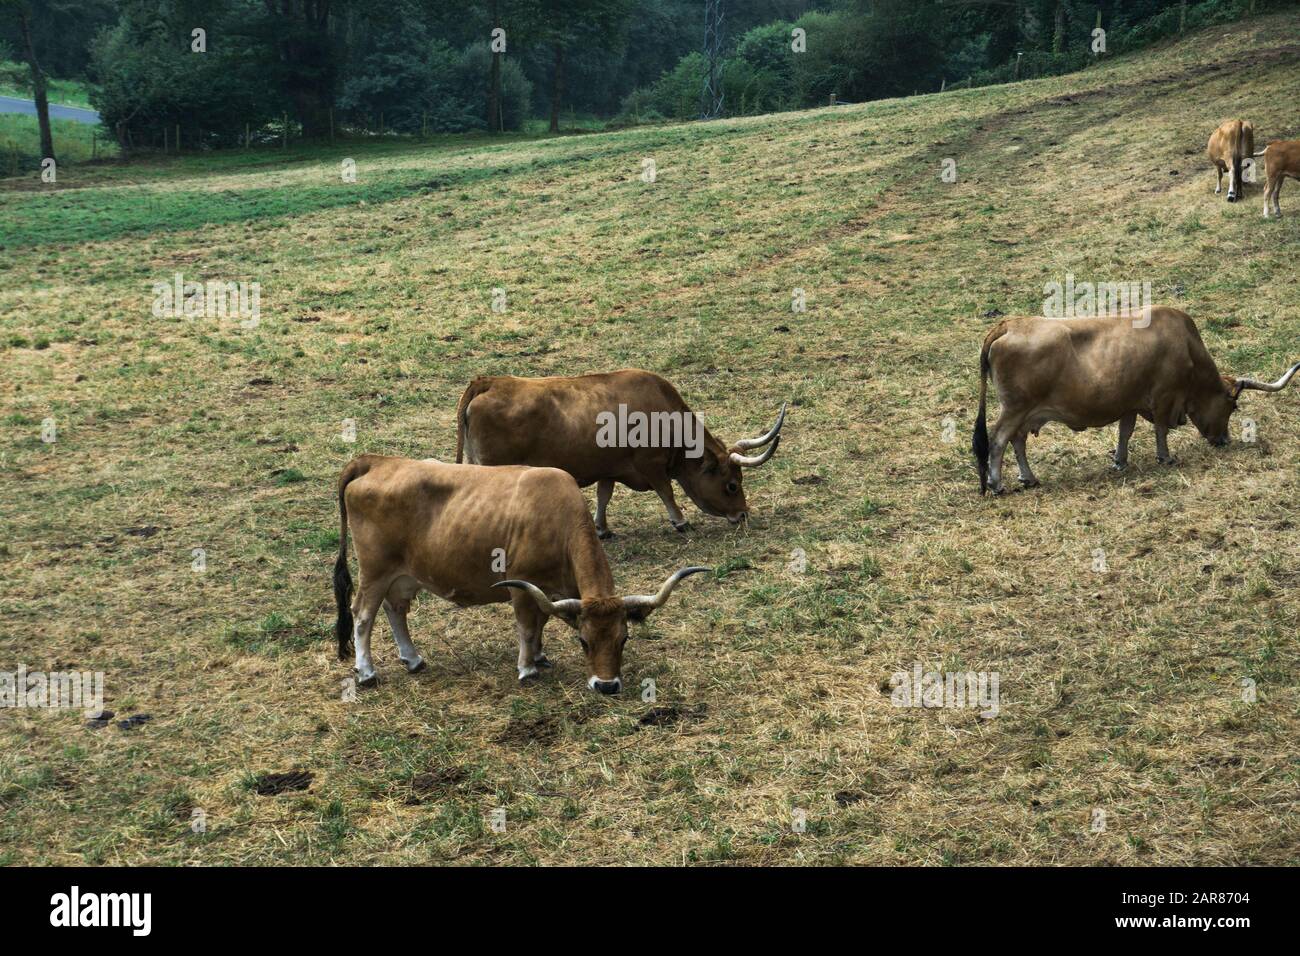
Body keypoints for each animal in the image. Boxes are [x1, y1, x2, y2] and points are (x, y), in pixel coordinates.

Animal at [330, 455, 707, 697]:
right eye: (583, 641)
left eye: (623, 639)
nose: (607, 686)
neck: (557, 517)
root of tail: (377, 461)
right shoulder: (523, 586)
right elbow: (527, 626)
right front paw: (527, 668)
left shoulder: (549, 592)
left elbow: (541, 621)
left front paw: (539, 656)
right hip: (375, 571)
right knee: (362, 614)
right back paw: (366, 672)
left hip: (404, 575)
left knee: (395, 610)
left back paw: (413, 659)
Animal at [452, 369, 785, 538]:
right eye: (732, 485)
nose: (742, 514)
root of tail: (488, 383)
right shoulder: (651, 464)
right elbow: (667, 491)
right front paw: (679, 521)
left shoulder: (609, 468)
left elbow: (604, 496)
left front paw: (601, 528)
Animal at [972, 306, 1300, 496]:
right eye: (1233, 406)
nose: (1224, 440)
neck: (1186, 346)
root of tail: (1009, 324)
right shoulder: (1165, 397)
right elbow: (1161, 429)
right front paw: (1165, 457)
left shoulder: (1128, 403)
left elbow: (1125, 432)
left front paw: (1120, 460)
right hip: (1015, 408)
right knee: (999, 440)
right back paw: (997, 484)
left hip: (1025, 412)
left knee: (1018, 440)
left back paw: (1028, 478)